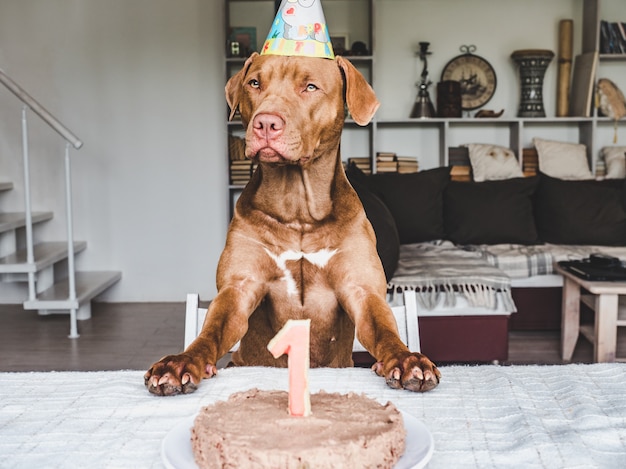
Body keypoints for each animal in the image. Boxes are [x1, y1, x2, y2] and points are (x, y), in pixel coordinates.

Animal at [146, 54, 438, 394]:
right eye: (254, 83)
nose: (266, 123)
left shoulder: (362, 289)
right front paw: (181, 361)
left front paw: (406, 359)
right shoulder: (239, 287)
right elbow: (213, 329)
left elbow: (384, 330)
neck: (297, 207)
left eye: (310, 86)